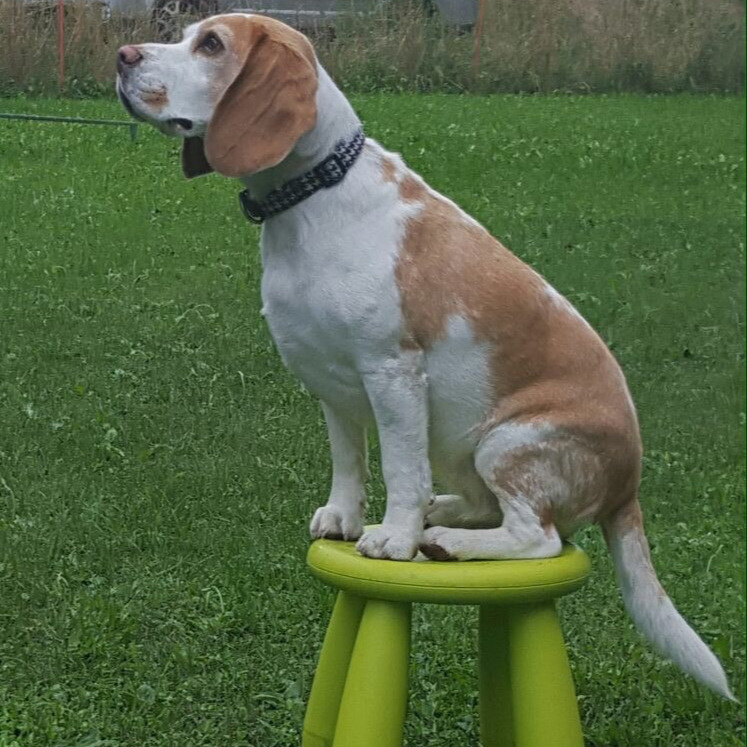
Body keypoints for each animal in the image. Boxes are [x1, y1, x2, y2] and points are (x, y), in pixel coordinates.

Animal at [116, 13, 732, 698]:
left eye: (212, 45)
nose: (122, 55)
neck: (311, 196)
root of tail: (629, 486)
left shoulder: (393, 373)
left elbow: (400, 470)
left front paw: (394, 537)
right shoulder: (332, 386)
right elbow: (350, 463)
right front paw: (345, 518)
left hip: (507, 443)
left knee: (538, 537)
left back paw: (445, 541)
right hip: (466, 452)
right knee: (489, 509)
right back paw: (449, 515)